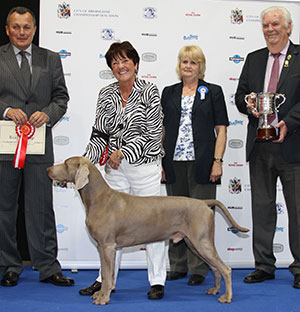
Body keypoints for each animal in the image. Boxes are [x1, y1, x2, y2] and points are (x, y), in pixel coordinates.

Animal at [47, 156, 248, 304]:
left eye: (66, 163)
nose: (48, 169)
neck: (98, 198)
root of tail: (203, 203)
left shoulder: (107, 246)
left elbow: (107, 275)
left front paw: (103, 298)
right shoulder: (103, 247)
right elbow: (106, 273)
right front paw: (100, 293)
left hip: (202, 242)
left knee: (225, 268)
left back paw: (227, 297)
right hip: (194, 243)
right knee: (215, 268)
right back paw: (215, 290)